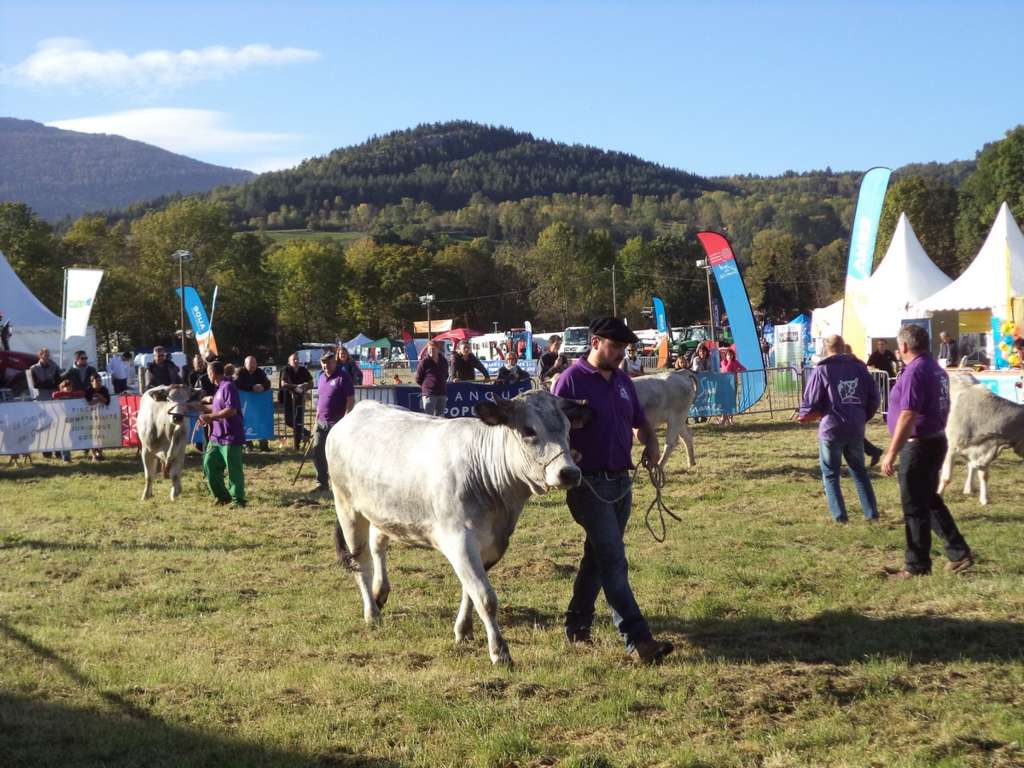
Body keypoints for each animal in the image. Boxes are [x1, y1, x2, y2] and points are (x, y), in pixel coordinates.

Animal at [327, 393, 593, 663]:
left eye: (568, 428)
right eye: (529, 430)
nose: (570, 473)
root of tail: (360, 408)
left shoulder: (490, 545)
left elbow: (470, 591)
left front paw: (464, 631)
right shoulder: (459, 541)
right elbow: (485, 597)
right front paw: (499, 651)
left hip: (383, 511)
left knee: (378, 544)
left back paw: (380, 592)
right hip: (347, 507)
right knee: (361, 562)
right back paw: (372, 613)